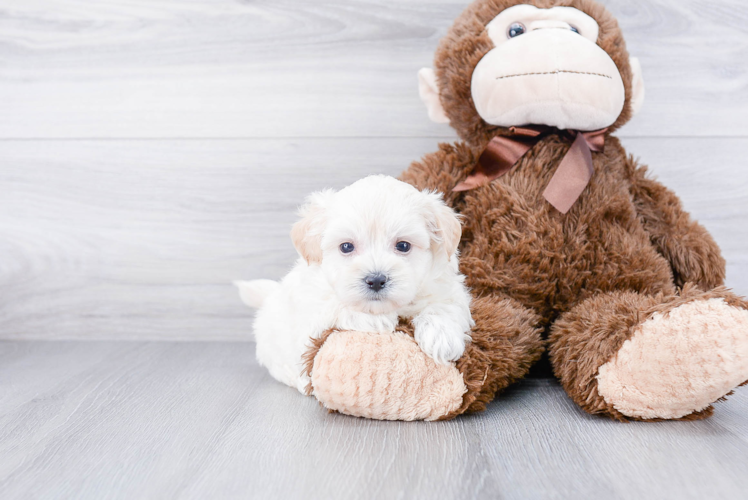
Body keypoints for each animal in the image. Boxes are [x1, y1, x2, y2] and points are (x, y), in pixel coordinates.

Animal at [234, 176, 474, 394]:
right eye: (346, 247)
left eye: (403, 246)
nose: (375, 280)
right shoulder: (312, 310)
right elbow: (336, 307)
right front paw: (377, 320)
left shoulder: (447, 288)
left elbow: (444, 306)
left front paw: (441, 337)